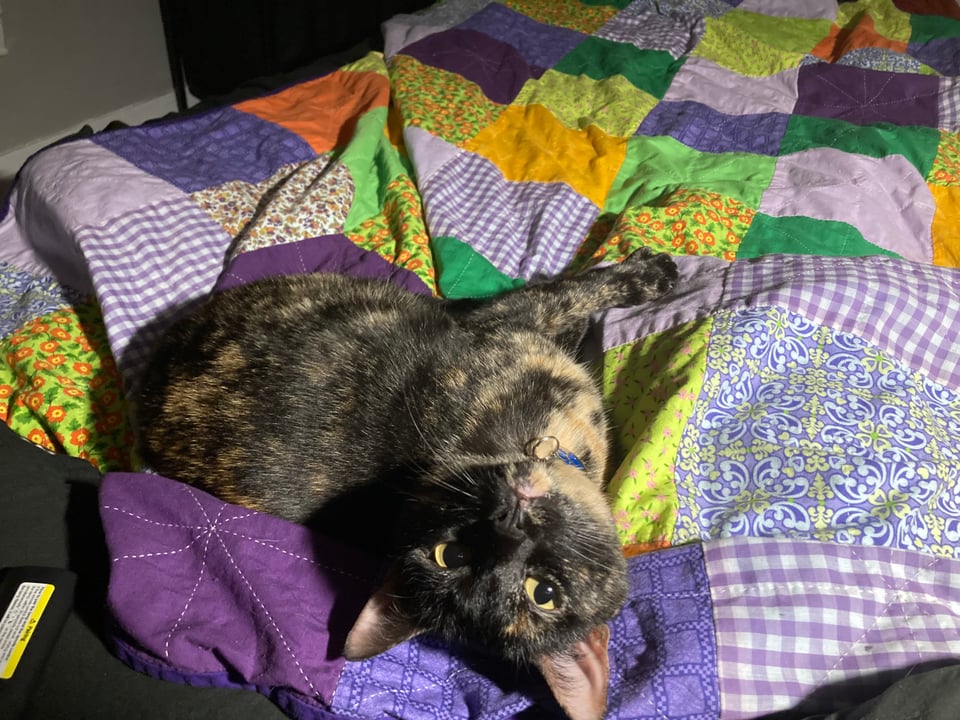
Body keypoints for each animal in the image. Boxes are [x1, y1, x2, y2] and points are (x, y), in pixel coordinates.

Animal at [135, 249, 680, 720]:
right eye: (452, 555)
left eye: (542, 592)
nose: (512, 522)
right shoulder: (504, 321)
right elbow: (574, 291)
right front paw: (647, 273)